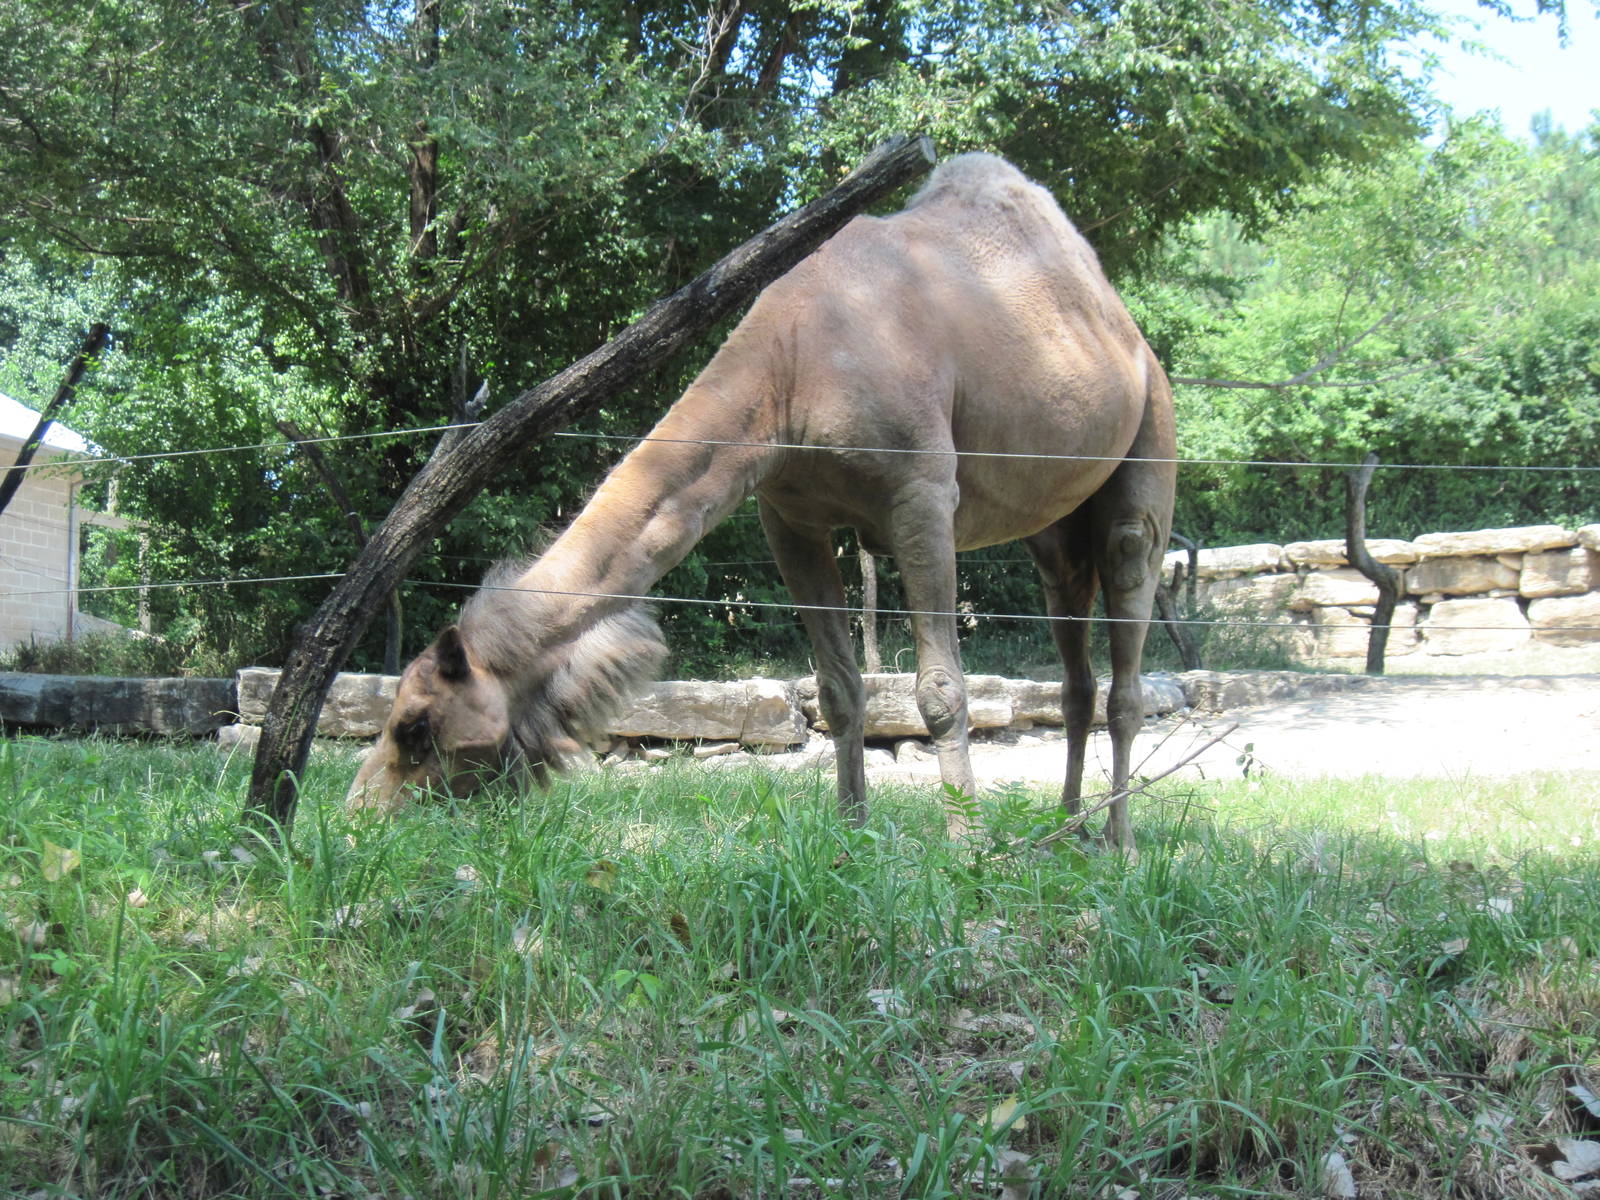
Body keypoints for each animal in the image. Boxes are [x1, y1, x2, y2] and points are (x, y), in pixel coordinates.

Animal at [347, 153, 1176, 848]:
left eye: (415, 725)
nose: (358, 814)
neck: (791, 371)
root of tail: (1126, 332)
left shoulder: (921, 496)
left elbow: (941, 690)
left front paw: (967, 853)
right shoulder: (790, 516)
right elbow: (839, 690)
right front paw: (851, 838)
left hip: (1149, 448)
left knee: (1128, 633)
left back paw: (1119, 843)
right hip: (1054, 531)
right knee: (1074, 670)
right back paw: (1067, 827)